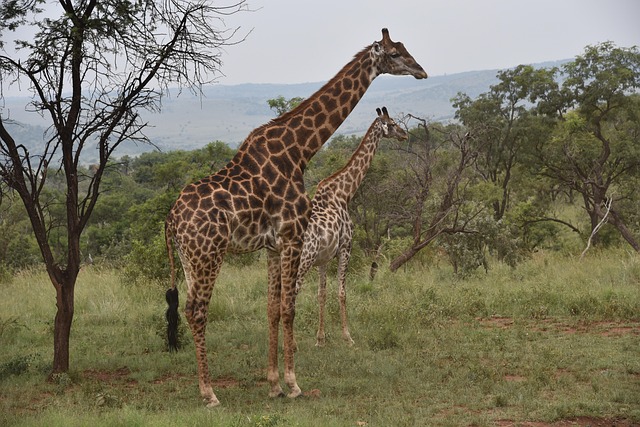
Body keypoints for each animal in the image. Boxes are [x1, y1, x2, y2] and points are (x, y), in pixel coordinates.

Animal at [296, 107, 407, 347]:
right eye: (393, 124)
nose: (405, 134)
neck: (343, 194)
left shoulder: (323, 258)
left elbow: (322, 293)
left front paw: (320, 338)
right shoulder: (345, 247)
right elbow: (342, 292)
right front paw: (348, 337)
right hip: (303, 260)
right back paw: (291, 345)